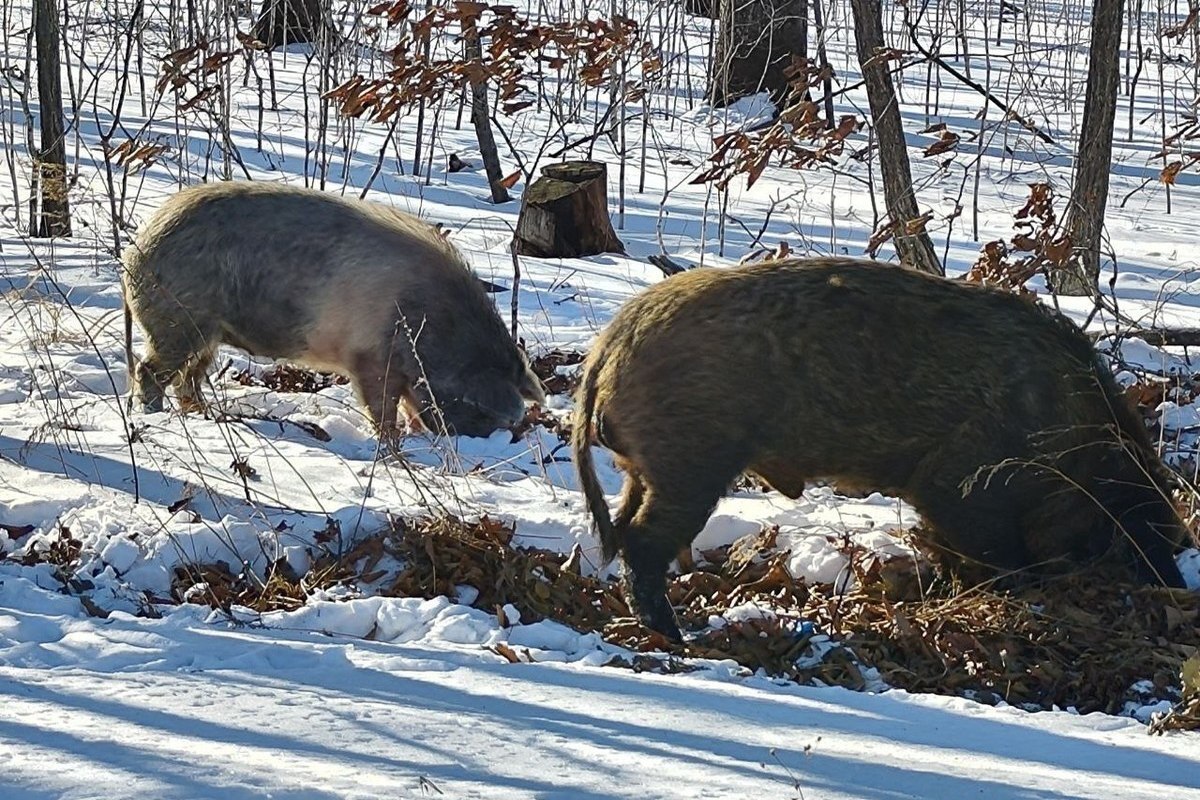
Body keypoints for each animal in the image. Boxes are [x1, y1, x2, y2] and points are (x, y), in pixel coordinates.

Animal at [123, 183, 544, 438]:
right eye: (486, 411)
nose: (487, 445)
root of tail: (138, 244)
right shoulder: (371, 359)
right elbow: (381, 406)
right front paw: (392, 443)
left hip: (206, 334)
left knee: (188, 377)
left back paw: (205, 414)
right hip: (178, 322)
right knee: (151, 371)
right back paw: (153, 415)